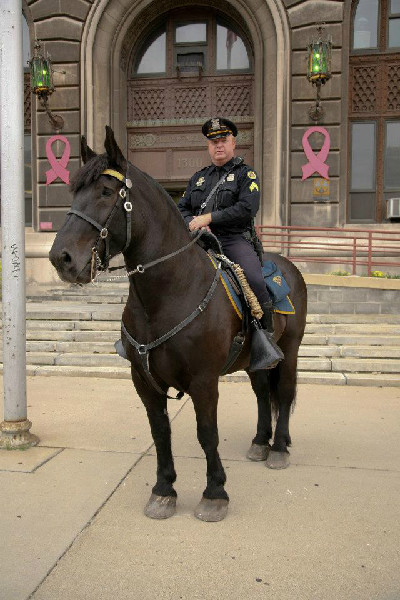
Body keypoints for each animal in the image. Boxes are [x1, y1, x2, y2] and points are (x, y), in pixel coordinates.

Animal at [49, 126, 306, 520]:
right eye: (73, 192)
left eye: (106, 192)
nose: (60, 258)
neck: (168, 293)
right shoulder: (144, 381)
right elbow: (160, 433)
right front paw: (164, 489)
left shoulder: (203, 380)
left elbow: (207, 433)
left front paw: (215, 493)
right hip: (255, 360)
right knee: (264, 393)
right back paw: (261, 442)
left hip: (290, 351)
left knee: (286, 392)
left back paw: (278, 449)